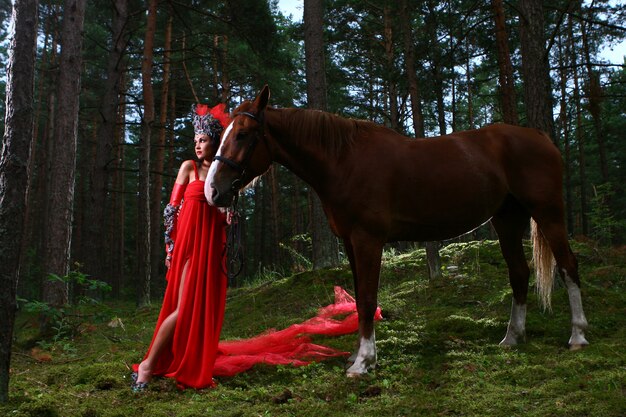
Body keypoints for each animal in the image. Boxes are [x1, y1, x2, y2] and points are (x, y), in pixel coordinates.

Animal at [205, 86, 584, 376]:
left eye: (242, 134)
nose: (214, 191)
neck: (344, 161)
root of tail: (540, 137)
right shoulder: (350, 242)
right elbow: (359, 299)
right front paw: (358, 357)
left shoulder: (368, 240)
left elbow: (368, 298)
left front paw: (364, 363)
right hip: (506, 219)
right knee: (519, 273)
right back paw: (512, 338)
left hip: (548, 213)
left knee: (568, 266)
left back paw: (578, 336)